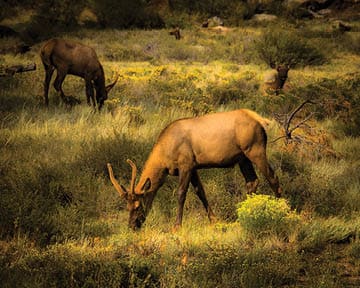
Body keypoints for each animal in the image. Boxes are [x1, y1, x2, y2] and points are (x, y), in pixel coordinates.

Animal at [107, 109, 282, 231]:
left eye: (137, 206)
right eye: (127, 207)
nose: (132, 225)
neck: (164, 156)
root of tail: (261, 121)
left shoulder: (186, 165)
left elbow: (181, 194)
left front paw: (177, 225)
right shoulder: (193, 167)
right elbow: (200, 191)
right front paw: (214, 220)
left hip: (255, 150)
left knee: (272, 177)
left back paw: (282, 210)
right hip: (243, 158)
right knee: (252, 181)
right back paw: (242, 216)